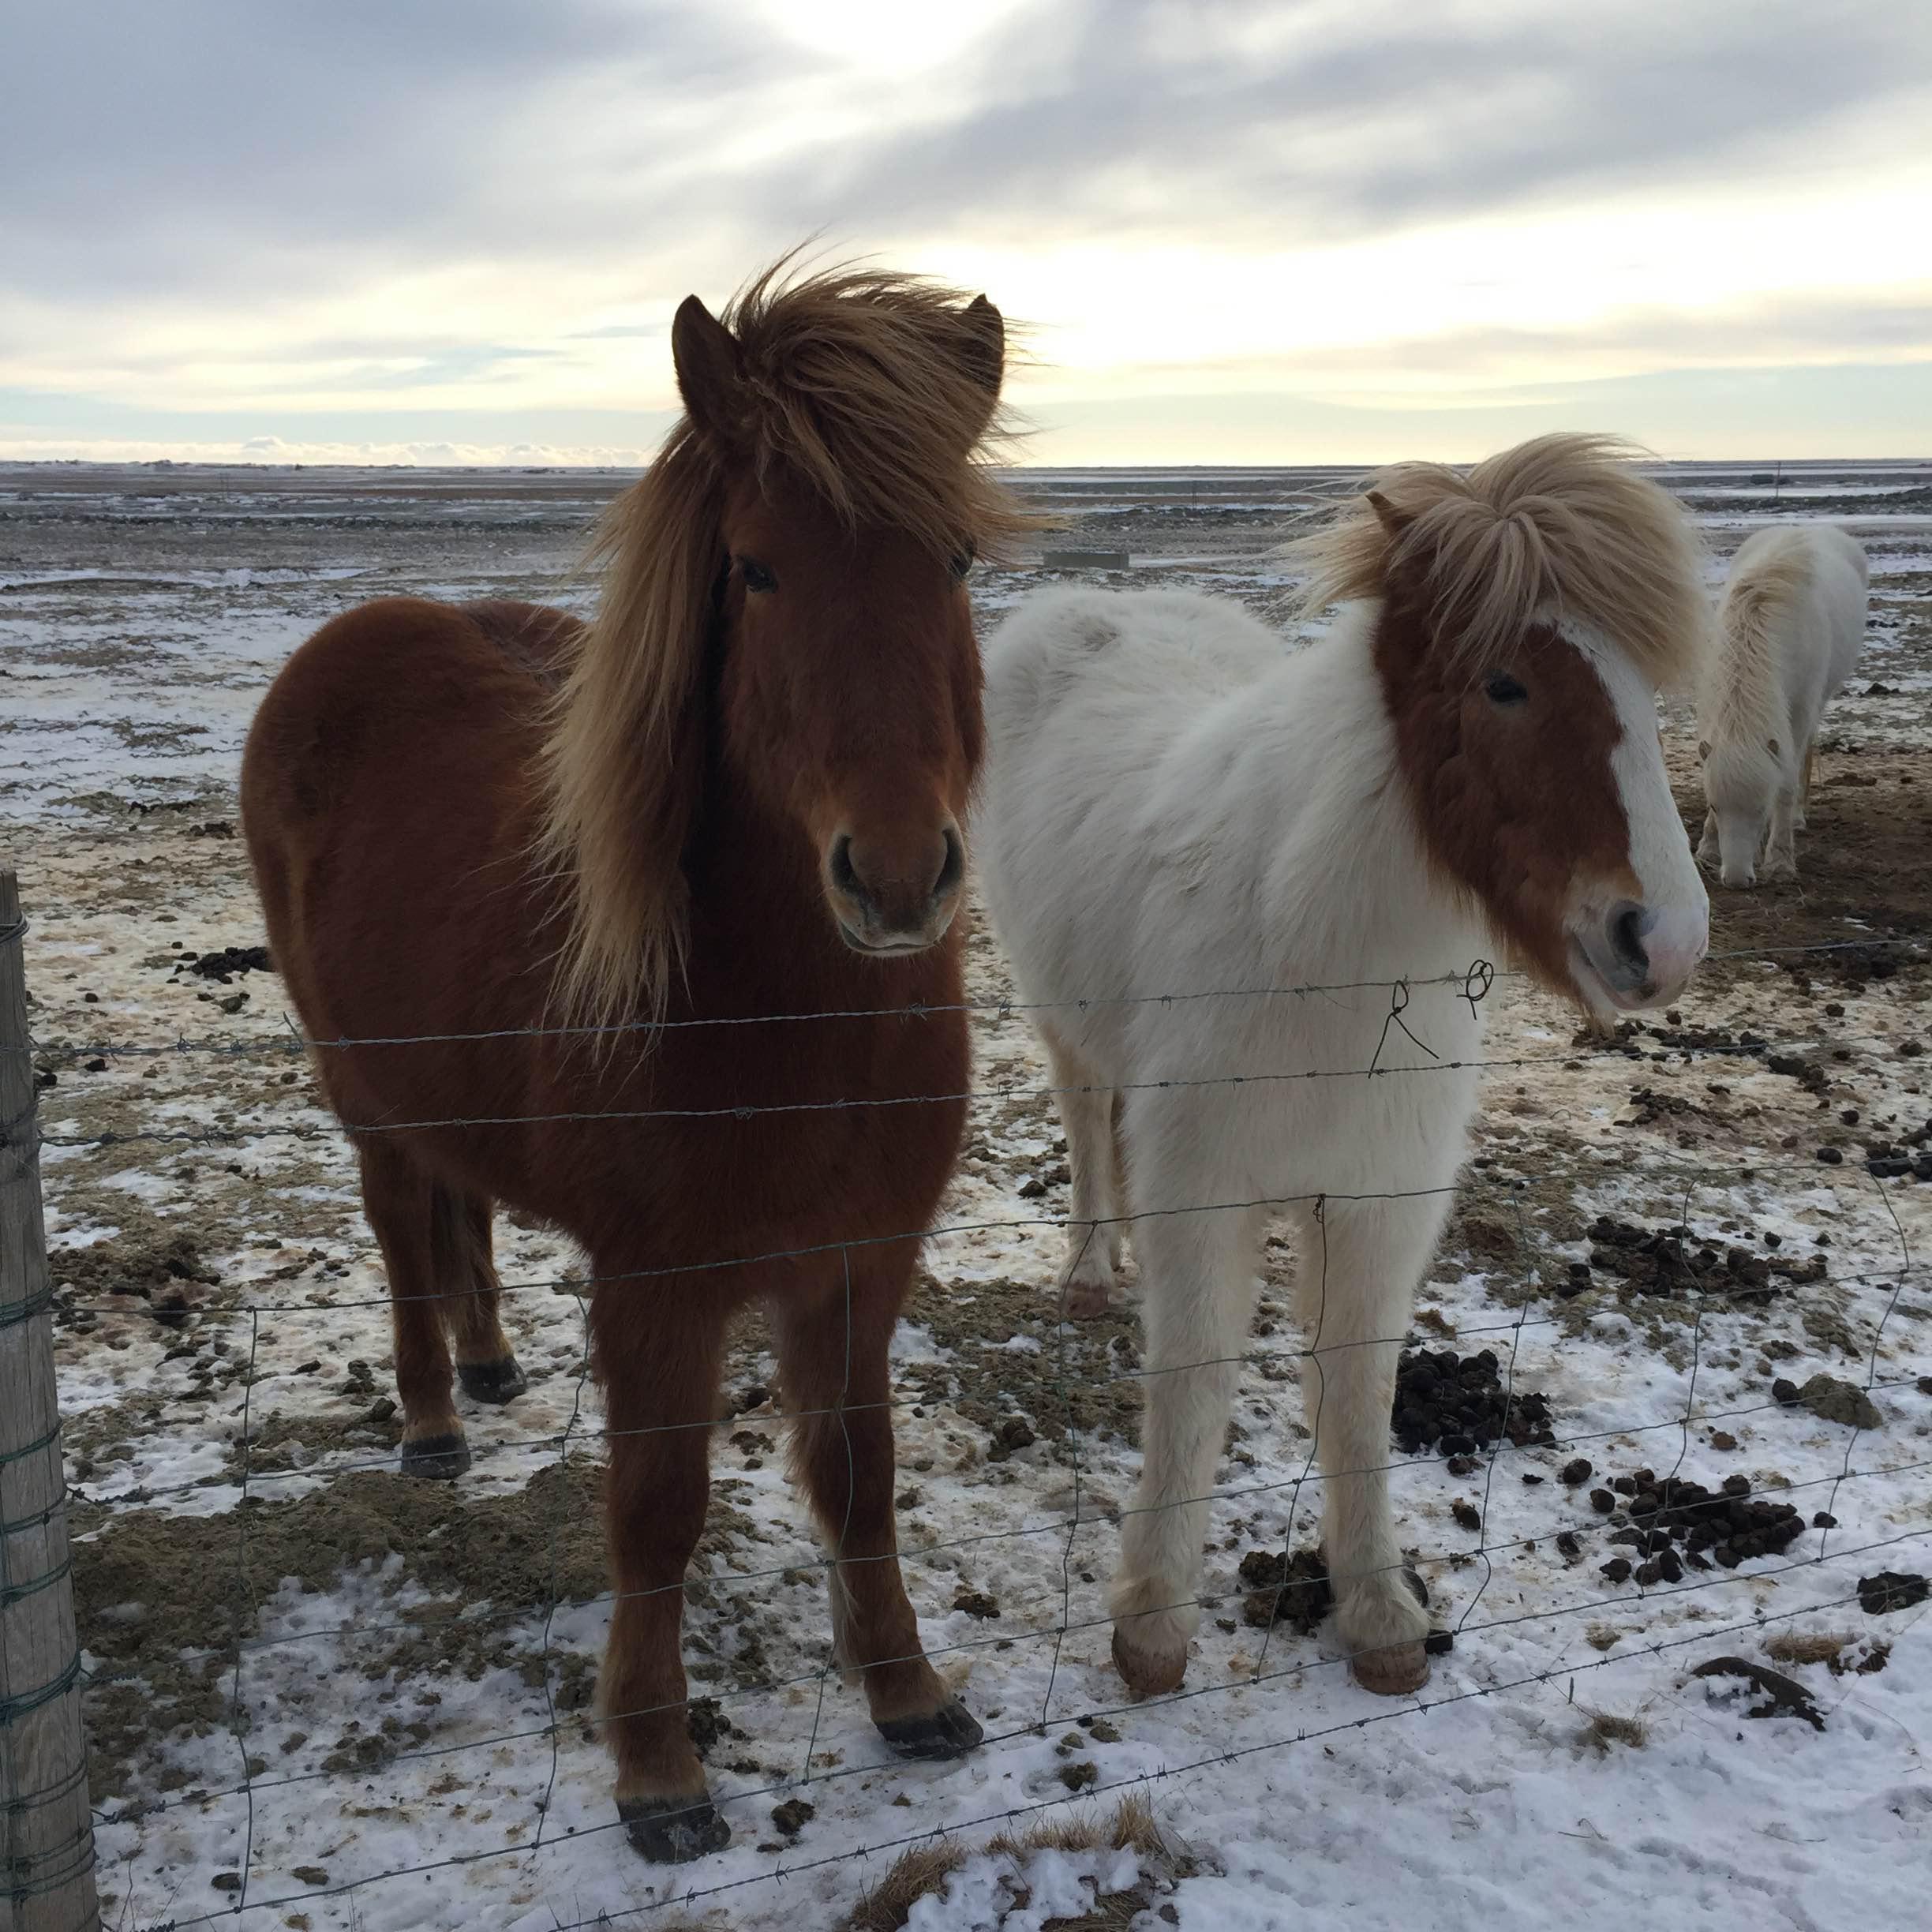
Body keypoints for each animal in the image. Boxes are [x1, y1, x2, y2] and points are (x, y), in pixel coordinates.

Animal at [242, 264, 1028, 1862]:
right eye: (757, 570)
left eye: (957, 559)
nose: (896, 876)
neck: (793, 1022)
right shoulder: (659, 1286)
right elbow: (658, 1510)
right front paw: (657, 1766)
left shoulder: (864, 1259)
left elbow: (861, 1476)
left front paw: (906, 1690)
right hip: (360, 1087)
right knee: (401, 1228)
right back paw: (433, 1415)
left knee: (459, 1202)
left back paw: (488, 1363)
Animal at [981, 434, 1708, 1708]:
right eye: (1505, 684)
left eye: (1638, 685)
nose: (1662, 942)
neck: (1321, 960)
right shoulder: (1206, 1194)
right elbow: (1196, 1378)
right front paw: (1153, 1624)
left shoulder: (1377, 1203)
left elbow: (1358, 1392)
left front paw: (1378, 1613)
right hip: (1056, 1013)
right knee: (1083, 1118)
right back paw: (1087, 1266)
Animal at [1700, 529, 1862, 889]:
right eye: (1716, 807)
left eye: (1762, 809)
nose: (1735, 879)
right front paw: (1707, 849)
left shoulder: (1799, 712)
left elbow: (1786, 783)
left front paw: (1780, 860)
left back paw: (1799, 817)